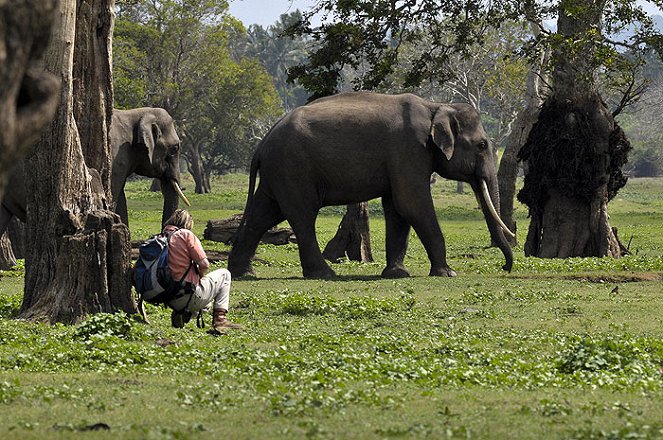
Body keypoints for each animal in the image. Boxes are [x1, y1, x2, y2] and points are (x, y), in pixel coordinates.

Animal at [231, 91, 516, 278]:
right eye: (482, 145)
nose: (504, 267)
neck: (436, 106)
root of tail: (262, 143)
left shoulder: (401, 159)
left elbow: (398, 209)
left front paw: (397, 274)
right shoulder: (408, 150)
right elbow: (412, 203)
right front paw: (448, 273)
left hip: (278, 172)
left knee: (264, 214)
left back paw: (243, 274)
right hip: (293, 168)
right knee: (302, 215)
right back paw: (325, 274)